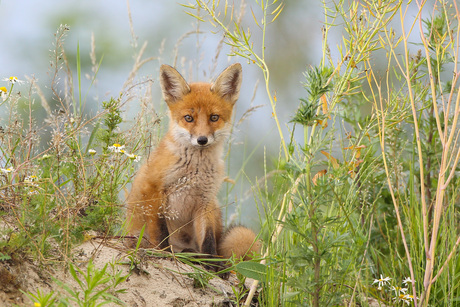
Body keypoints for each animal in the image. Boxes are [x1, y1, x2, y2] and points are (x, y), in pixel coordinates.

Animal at [126, 63, 260, 264]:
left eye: (214, 117)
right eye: (189, 118)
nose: (202, 140)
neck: (195, 169)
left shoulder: (205, 200)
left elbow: (208, 239)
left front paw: (211, 265)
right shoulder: (154, 190)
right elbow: (161, 233)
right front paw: (165, 253)